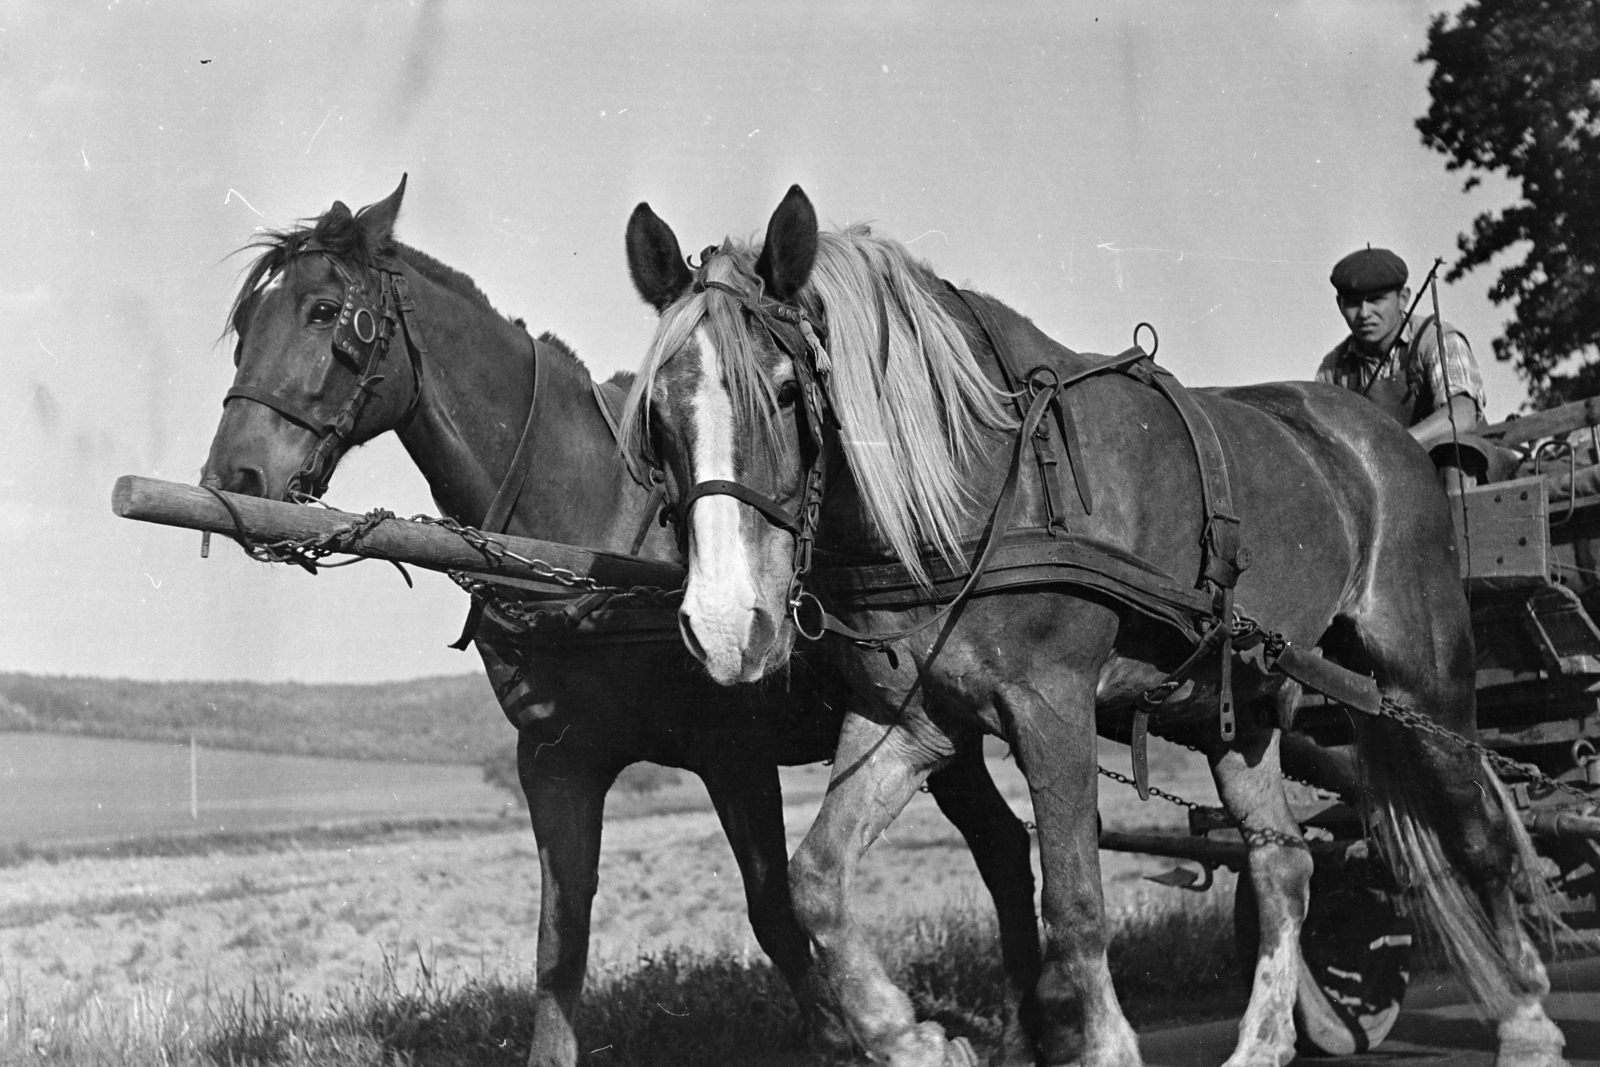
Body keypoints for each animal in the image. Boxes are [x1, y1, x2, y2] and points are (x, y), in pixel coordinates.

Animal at [198, 177, 1047, 1067]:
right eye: (246, 324)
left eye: (325, 310)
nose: (233, 476)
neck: (584, 524)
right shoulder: (556, 761)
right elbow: (560, 939)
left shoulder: (733, 754)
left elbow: (773, 913)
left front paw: (840, 1037)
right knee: (1002, 846)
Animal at [620, 185, 1567, 1067]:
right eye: (656, 416)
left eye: (787, 392)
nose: (724, 627)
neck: (976, 478)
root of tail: (1380, 439)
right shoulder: (911, 720)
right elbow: (814, 881)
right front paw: (909, 1034)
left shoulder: (1053, 707)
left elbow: (1074, 903)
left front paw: (1100, 1043)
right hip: (1243, 707)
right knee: (1285, 865)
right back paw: (1263, 1041)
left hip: (1423, 675)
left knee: (1479, 832)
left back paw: (1527, 1014)